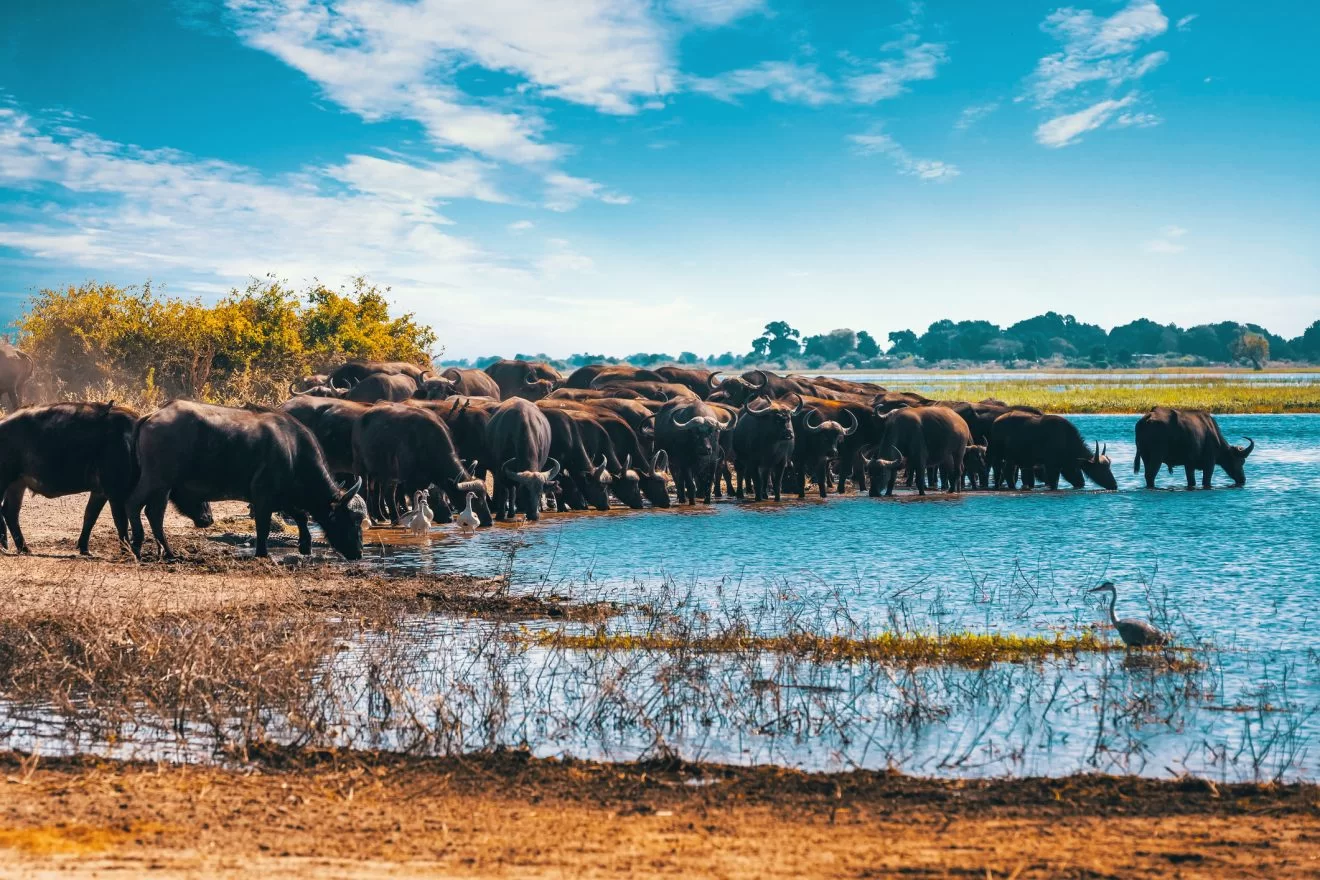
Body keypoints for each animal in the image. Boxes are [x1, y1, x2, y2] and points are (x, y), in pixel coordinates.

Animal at [129, 398, 366, 556]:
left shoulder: (283, 496)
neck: (294, 449)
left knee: (153, 513)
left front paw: (305, 546)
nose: (359, 552)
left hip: (163, 487)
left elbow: (300, 516)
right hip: (157, 481)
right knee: (136, 506)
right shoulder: (263, 496)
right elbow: (264, 526)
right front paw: (263, 553)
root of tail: (151, 416)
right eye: (353, 519)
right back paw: (142, 547)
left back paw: (160, 550)